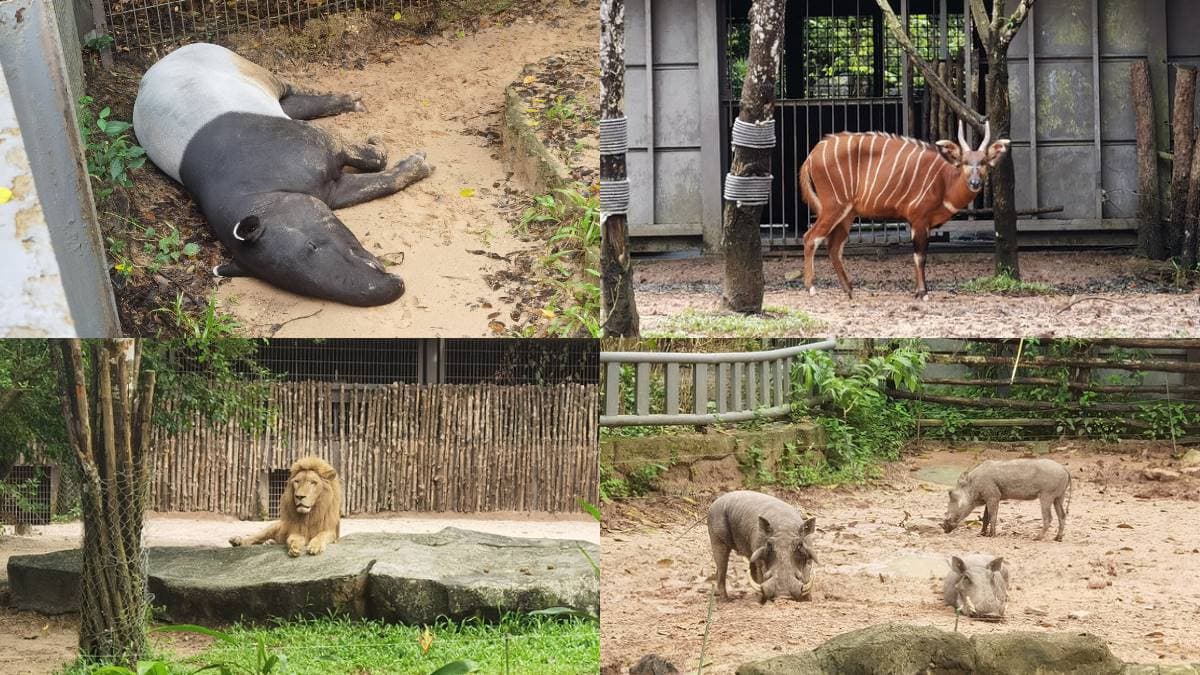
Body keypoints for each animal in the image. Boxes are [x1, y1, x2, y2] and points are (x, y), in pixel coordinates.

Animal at [798, 120, 1010, 299]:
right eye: (965, 162)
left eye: (983, 162)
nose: (975, 183)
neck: (945, 180)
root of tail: (811, 156)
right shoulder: (918, 218)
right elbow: (919, 256)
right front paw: (922, 293)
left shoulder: (924, 223)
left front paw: (918, 291)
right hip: (834, 206)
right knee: (810, 237)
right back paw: (811, 288)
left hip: (847, 213)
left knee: (834, 247)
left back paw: (849, 290)